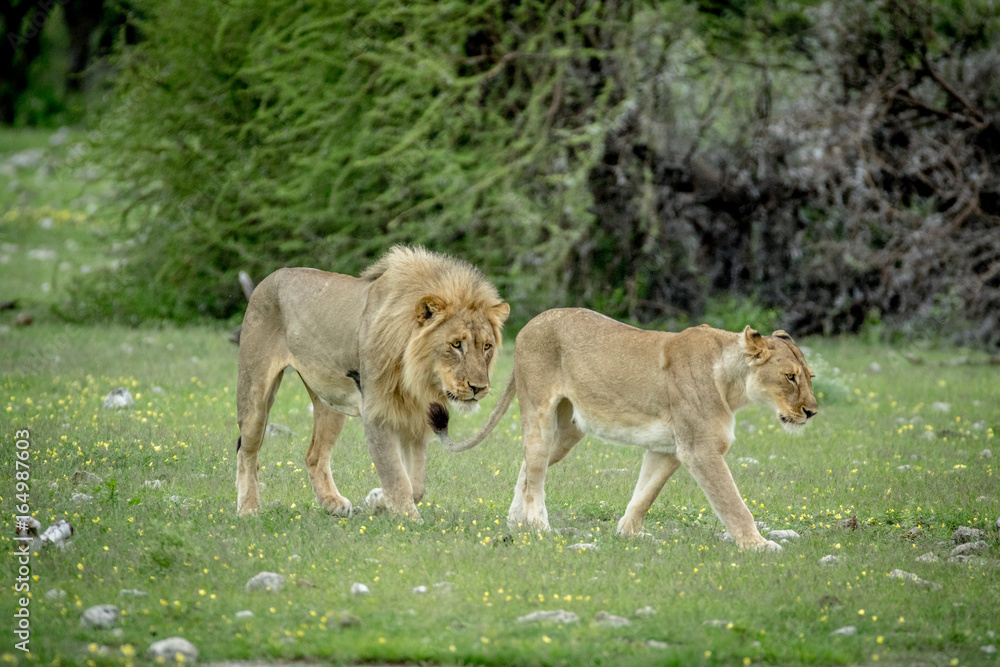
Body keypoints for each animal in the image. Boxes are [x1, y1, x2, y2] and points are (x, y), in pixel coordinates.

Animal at [235, 245, 510, 520]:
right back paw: (248, 508)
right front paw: (409, 519)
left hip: (330, 402)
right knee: (247, 452)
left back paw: (332, 503)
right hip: (254, 394)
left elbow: (416, 484)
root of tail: (270, 277)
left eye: (487, 346)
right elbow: (396, 475)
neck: (417, 376)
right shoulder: (377, 412)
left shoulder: (417, 418)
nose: (479, 388)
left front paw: (378, 501)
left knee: (314, 455)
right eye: (456, 344)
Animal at [430, 308, 818, 551]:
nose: (812, 412)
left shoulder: (667, 449)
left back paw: (516, 523)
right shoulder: (700, 449)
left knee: (527, 466)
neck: (734, 384)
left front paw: (629, 534)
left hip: (567, 432)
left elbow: (645, 494)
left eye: (810, 376)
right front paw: (759, 545)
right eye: (790, 377)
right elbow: (733, 503)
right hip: (540, 414)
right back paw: (539, 527)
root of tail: (529, 325)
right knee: (535, 473)